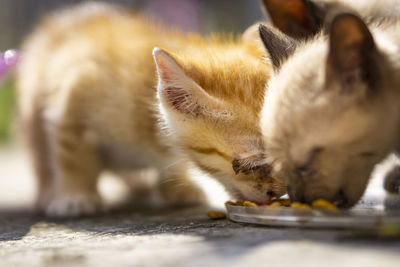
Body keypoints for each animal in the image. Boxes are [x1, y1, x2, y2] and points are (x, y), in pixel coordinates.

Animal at [16, 2, 284, 218]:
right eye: (249, 164)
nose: (276, 193)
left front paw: (176, 187)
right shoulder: (73, 96)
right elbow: (71, 154)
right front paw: (76, 195)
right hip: (31, 107)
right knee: (39, 152)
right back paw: (47, 192)